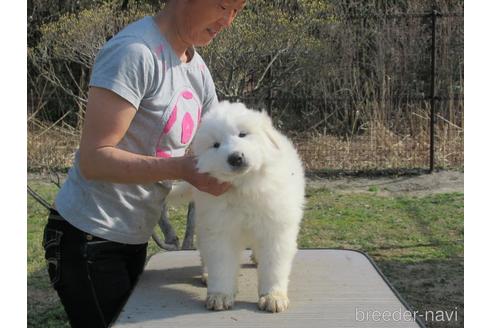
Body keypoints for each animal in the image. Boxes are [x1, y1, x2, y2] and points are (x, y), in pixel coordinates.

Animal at [174, 100, 304, 312]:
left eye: (243, 134)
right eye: (216, 145)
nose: (235, 158)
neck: (244, 187)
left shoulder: (275, 229)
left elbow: (273, 265)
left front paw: (273, 296)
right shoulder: (219, 229)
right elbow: (221, 263)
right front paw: (220, 295)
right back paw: (207, 274)